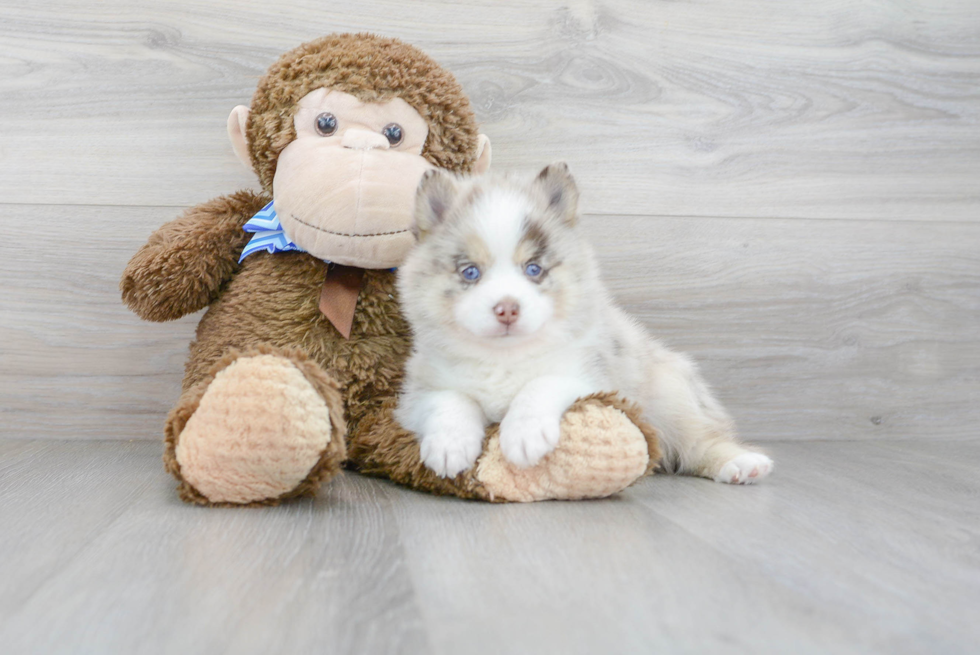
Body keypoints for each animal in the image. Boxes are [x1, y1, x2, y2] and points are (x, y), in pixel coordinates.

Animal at [396, 163, 772, 486]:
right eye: (470, 272)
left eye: (534, 269)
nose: (507, 309)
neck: (505, 358)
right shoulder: (416, 393)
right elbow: (449, 399)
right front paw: (449, 445)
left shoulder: (593, 377)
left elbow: (542, 383)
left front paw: (524, 434)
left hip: (672, 396)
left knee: (701, 440)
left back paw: (740, 463)